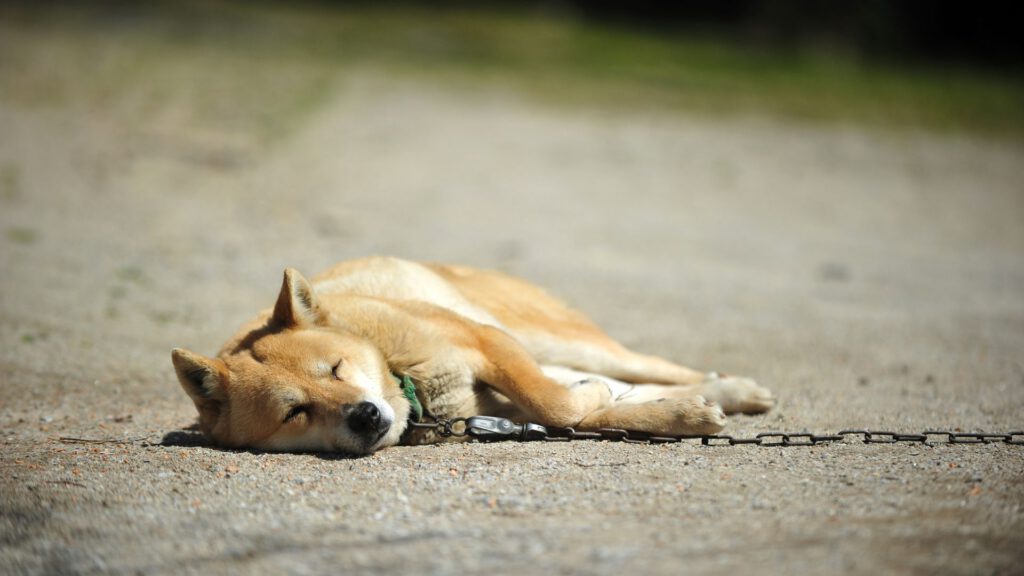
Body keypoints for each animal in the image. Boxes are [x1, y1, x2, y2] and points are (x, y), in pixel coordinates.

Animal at [172, 256, 770, 453]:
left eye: (336, 369)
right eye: (294, 412)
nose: (364, 415)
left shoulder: (487, 343)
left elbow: (557, 404)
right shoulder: (501, 402)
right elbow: (582, 413)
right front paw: (683, 417)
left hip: (556, 338)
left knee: (653, 368)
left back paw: (736, 388)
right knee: (637, 385)